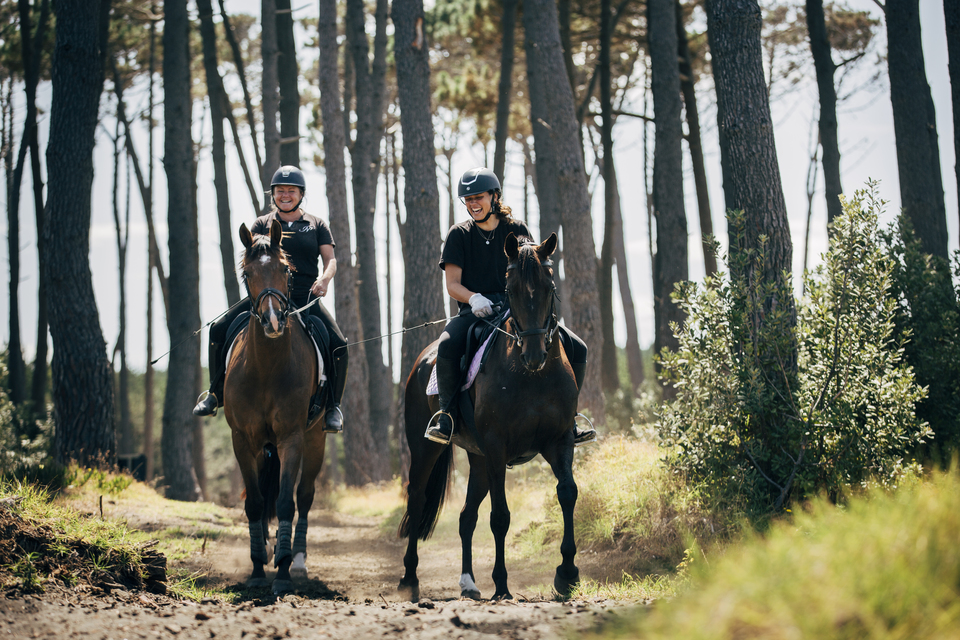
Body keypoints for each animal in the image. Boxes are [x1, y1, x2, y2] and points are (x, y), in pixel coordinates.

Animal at [224, 219, 327, 595]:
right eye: (247, 273)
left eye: (285, 269)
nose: (272, 322)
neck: (266, 367)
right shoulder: (242, 440)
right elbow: (254, 503)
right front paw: (257, 568)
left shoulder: (291, 438)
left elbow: (284, 502)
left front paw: (282, 573)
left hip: (315, 440)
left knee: (305, 497)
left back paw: (296, 561)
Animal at [397, 232, 581, 602]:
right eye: (510, 289)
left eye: (550, 285)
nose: (534, 355)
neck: (533, 377)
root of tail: (422, 360)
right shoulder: (498, 447)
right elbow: (500, 517)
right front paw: (502, 584)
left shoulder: (560, 440)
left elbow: (567, 493)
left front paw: (567, 574)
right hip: (427, 449)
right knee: (418, 498)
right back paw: (410, 579)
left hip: (478, 459)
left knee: (466, 517)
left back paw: (468, 583)